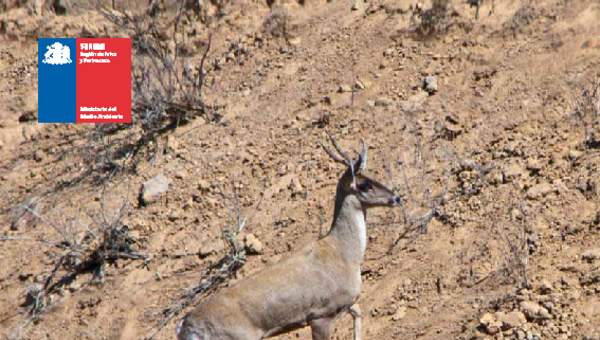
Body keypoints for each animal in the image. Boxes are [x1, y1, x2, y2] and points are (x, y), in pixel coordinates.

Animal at [177, 135, 404, 340]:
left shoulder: (346, 303)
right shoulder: (321, 314)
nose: (396, 198)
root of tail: (185, 327)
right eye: (365, 185)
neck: (345, 254)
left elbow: (358, 312)